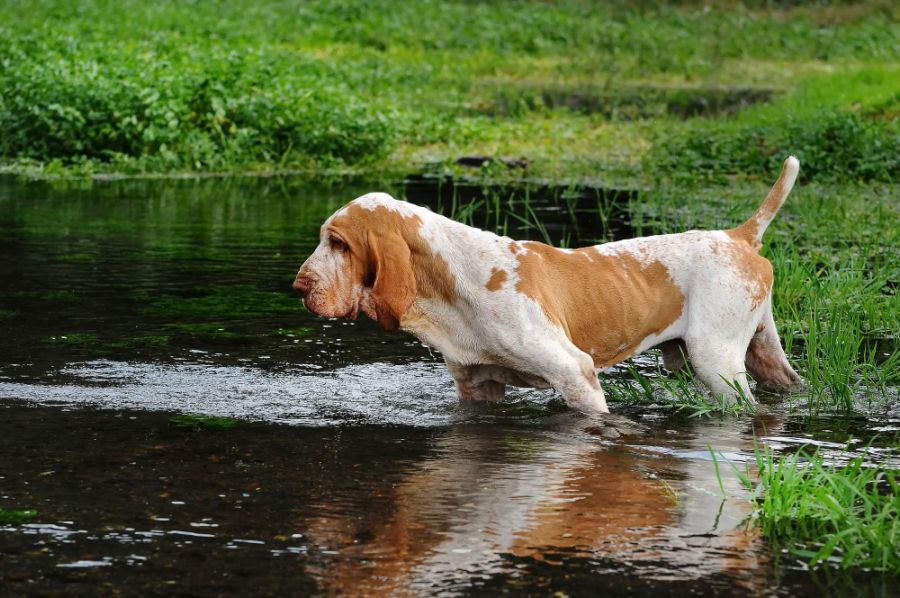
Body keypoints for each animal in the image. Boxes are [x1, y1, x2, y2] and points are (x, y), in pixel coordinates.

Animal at [294, 157, 800, 414]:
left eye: (338, 243)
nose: (299, 286)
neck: (455, 285)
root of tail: (738, 235)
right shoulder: (477, 389)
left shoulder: (576, 375)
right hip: (764, 357)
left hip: (716, 364)